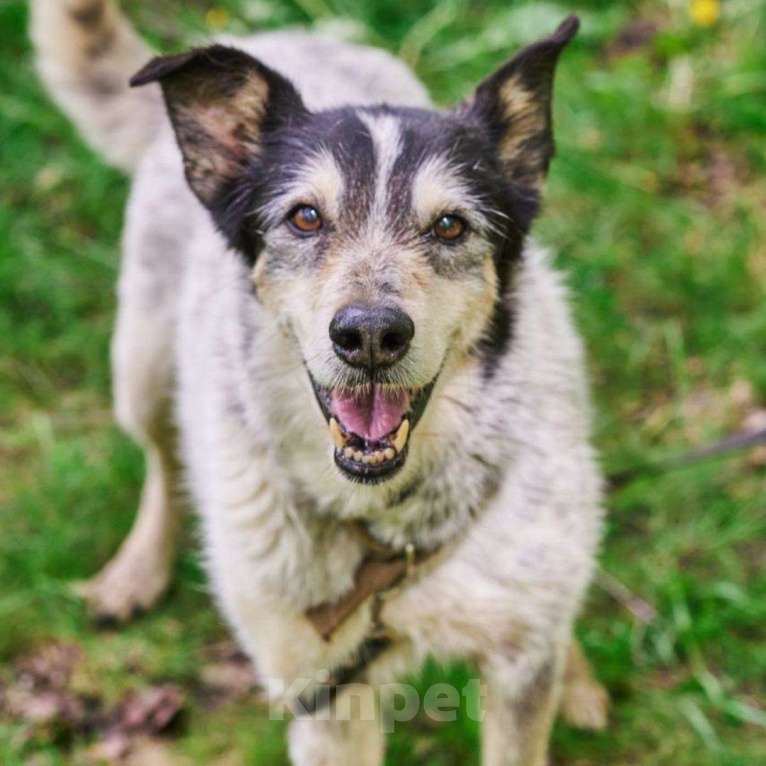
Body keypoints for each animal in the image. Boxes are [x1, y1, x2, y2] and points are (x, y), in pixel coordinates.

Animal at [31, 3, 612, 764]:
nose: (370, 335)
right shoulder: (323, 691)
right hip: (142, 362)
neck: (389, 530)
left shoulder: (515, 658)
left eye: (450, 225)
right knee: (161, 458)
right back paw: (134, 573)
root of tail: (279, 35)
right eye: (305, 217)